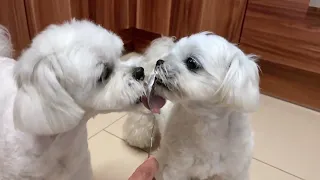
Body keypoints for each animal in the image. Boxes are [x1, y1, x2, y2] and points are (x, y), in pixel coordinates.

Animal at [125, 32, 260, 180]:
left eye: (191, 62)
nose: (159, 62)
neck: (206, 124)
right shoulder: (176, 169)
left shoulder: (232, 172)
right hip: (144, 111)